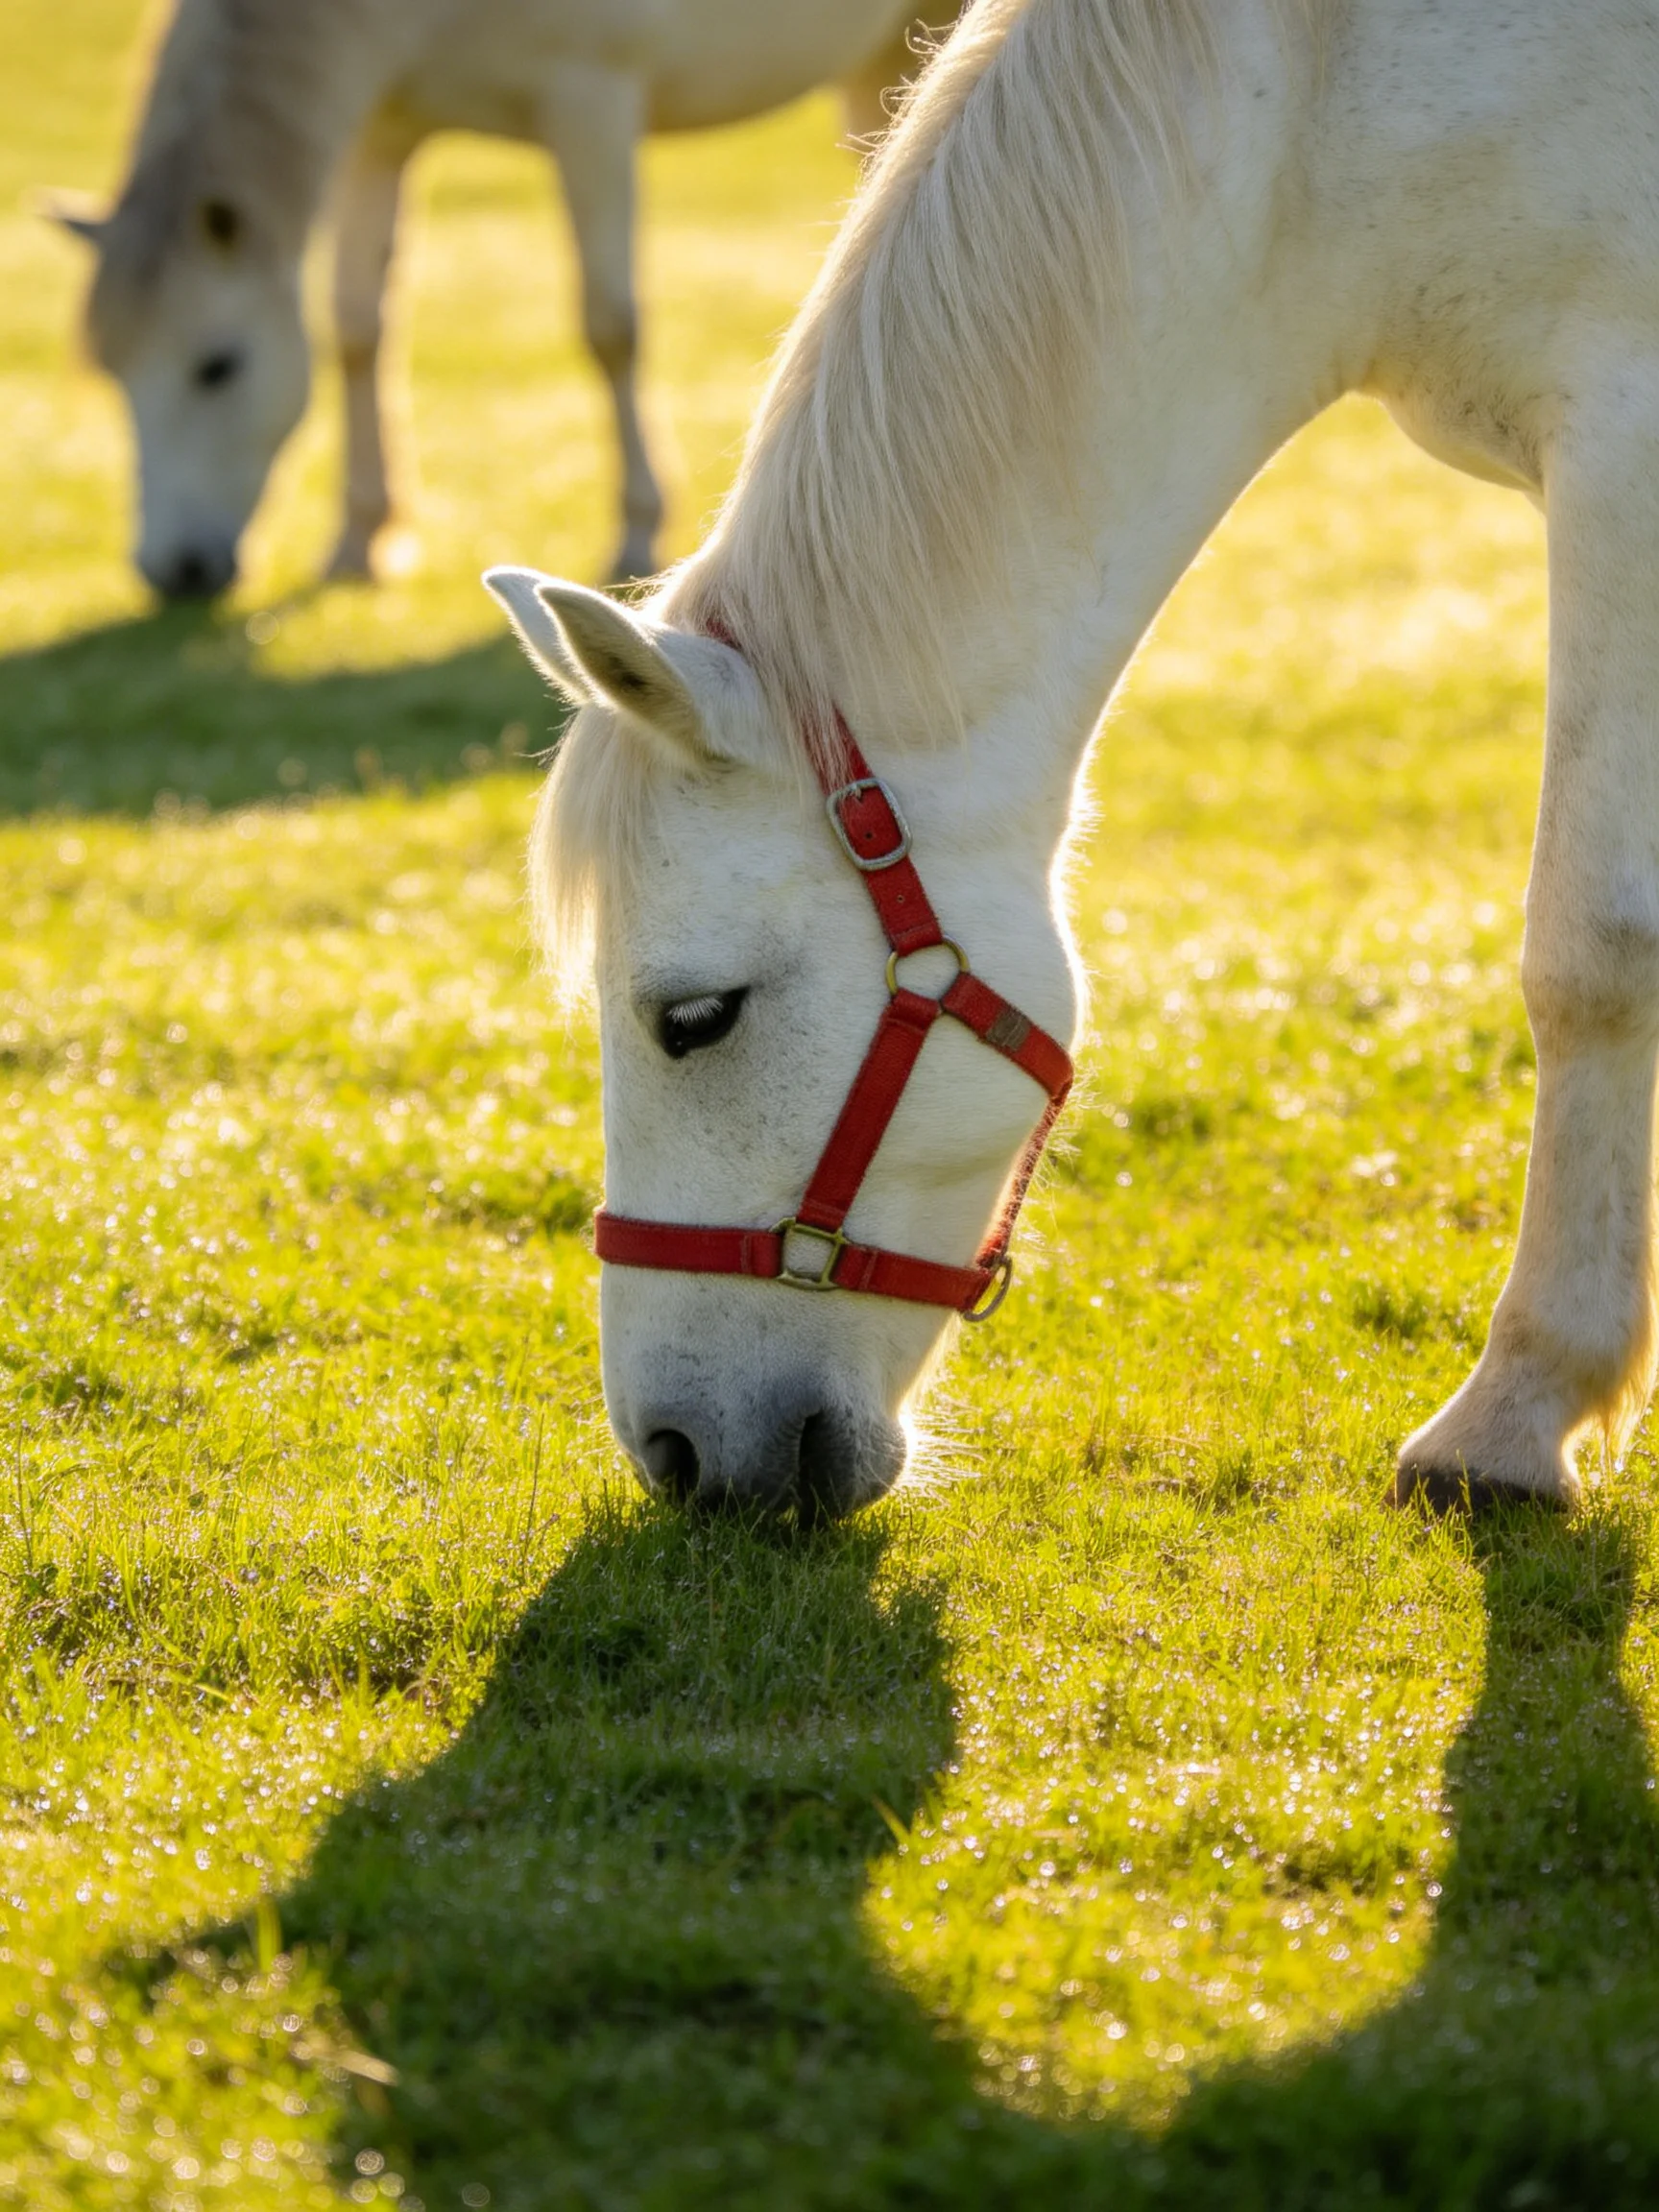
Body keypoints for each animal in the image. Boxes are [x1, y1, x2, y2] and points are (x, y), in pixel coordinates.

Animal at [49, 0, 950, 599]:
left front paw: (636, 529)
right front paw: (360, 536)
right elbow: (357, 329)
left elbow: (609, 325)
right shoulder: (381, 129)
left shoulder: (591, 95)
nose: (171, 572)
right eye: (114, 375)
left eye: (217, 367)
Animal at [484, 0, 1659, 1520]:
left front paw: (1518, 1410)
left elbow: (1591, 948)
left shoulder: (1626, 445)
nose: (678, 1458)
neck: (1320, 103)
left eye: (694, 1017)